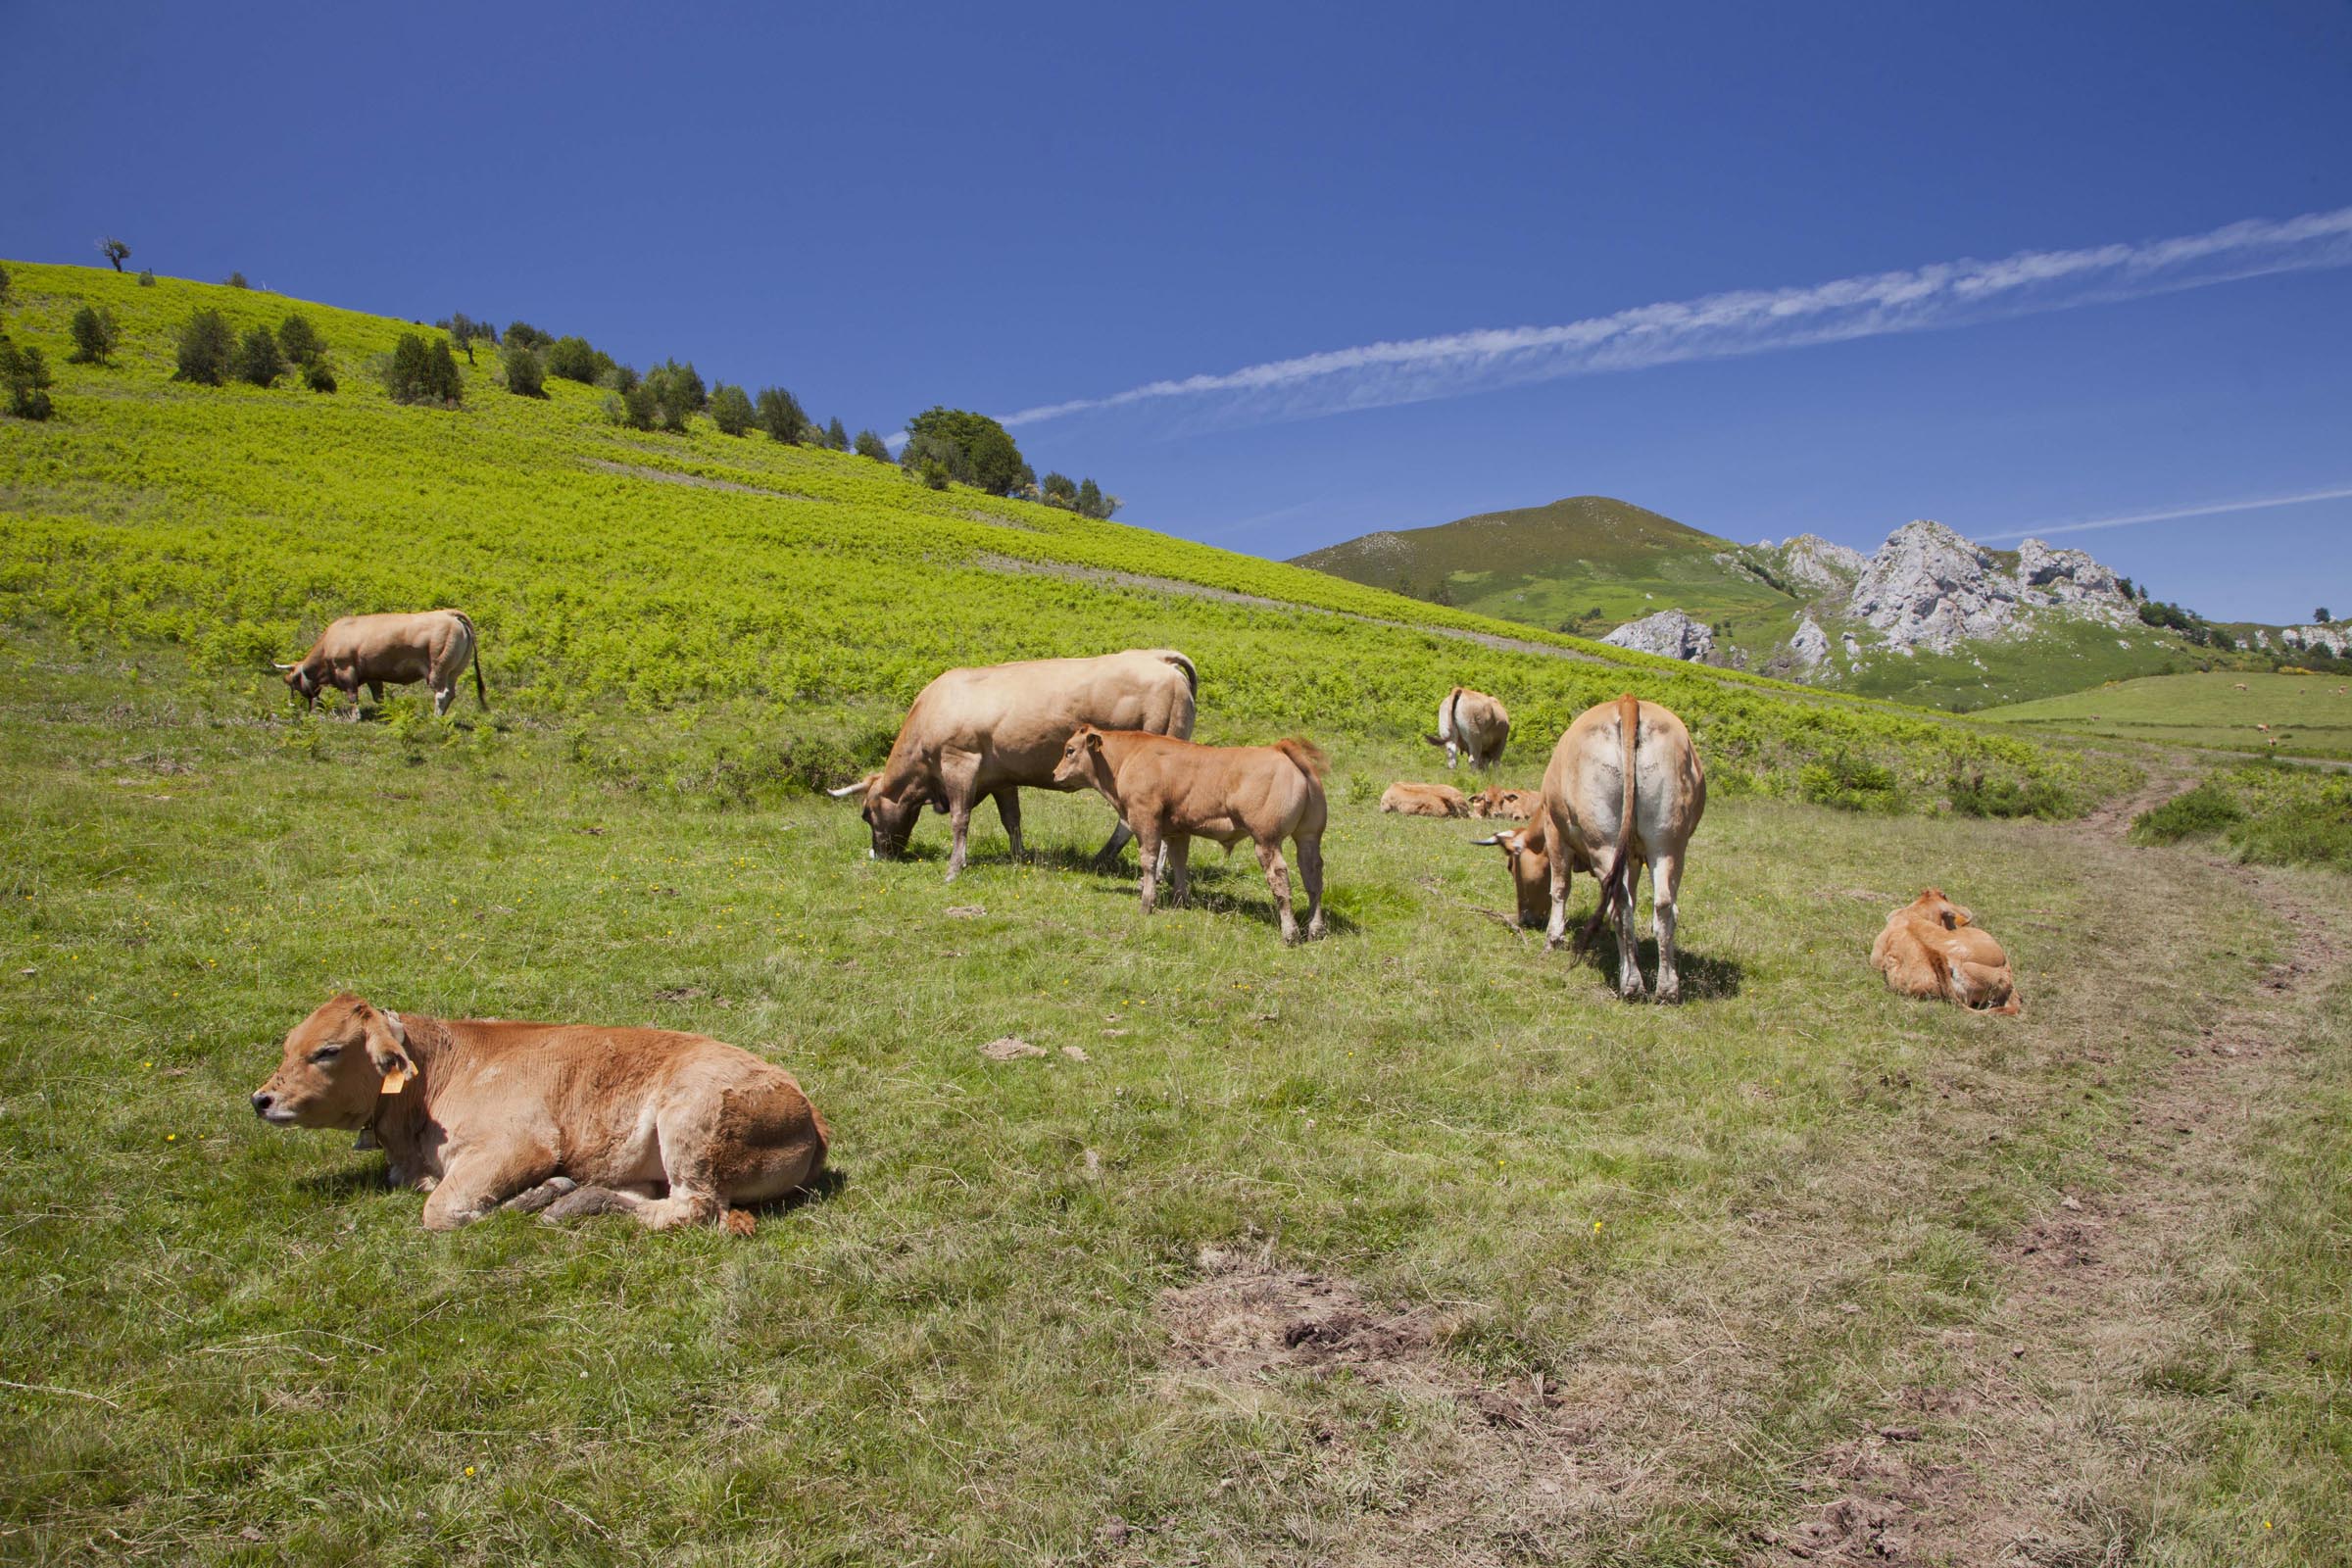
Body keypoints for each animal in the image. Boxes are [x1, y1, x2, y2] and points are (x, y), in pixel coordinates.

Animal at [249, 993, 828, 1232]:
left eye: (326, 1050)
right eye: (288, 1044)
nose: (261, 1099)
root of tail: (809, 1111)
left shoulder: (519, 1144)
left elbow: (443, 1212)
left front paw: (540, 1194)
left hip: (691, 1123)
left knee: (693, 1207)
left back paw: (572, 1202)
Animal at [275, 610, 485, 720]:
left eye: (292, 682)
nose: (294, 705)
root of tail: (449, 614)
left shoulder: (346, 671)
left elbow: (353, 697)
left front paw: (355, 717)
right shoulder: (372, 676)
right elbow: (379, 698)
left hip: (438, 670)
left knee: (442, 694)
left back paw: (435, 718)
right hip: (453, 672)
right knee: (451, 693)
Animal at [831, 649, 1197, 880]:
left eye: (866, 813)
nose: (880, 855)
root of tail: (1157, 658)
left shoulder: (960, 761)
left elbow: (960, 819)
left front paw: (955, 867)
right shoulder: (1002, 779)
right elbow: (1012, 820)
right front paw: (1019, 858)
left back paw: (1149, 872)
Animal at [1052, 724, 1329, 944]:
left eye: (1070, 750)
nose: (1054, 774)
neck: (1129, 757)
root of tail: (1278, 748)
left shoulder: (1145, 818)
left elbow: (1149, 861)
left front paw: (1147, 903)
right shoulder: (1177, 830)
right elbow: (1179, 861)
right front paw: (1181, 900)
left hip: (1267, 839)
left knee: (1280, 880)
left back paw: (1290, 933)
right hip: (1309, 836)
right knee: (1313, 877)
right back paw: (1315, 929)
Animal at [1536, 693, 1706, 1001]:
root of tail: (1628, 702)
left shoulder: (1554, 830)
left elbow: (1559, 888)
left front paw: (1553, 938)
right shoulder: (1635, 856)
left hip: (1605, 842)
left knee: (1619, 904)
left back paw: (1631, 984)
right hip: (1669, 841)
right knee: (1663, 905)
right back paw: (1666, 987)